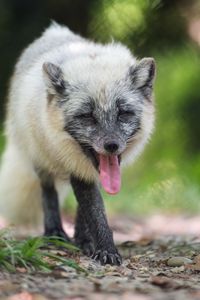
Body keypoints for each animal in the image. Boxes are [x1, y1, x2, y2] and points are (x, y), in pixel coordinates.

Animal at [0, 22, 155, 264]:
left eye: (123, 113)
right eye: (87, 116)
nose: (112, 145)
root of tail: (55, 30)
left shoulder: (91, 173)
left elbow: (87, 210)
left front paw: (88, 242)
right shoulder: (75, 167)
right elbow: (94, 211)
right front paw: (106, 250)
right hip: (39, 158)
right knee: (48, 193)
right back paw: (54, 234)